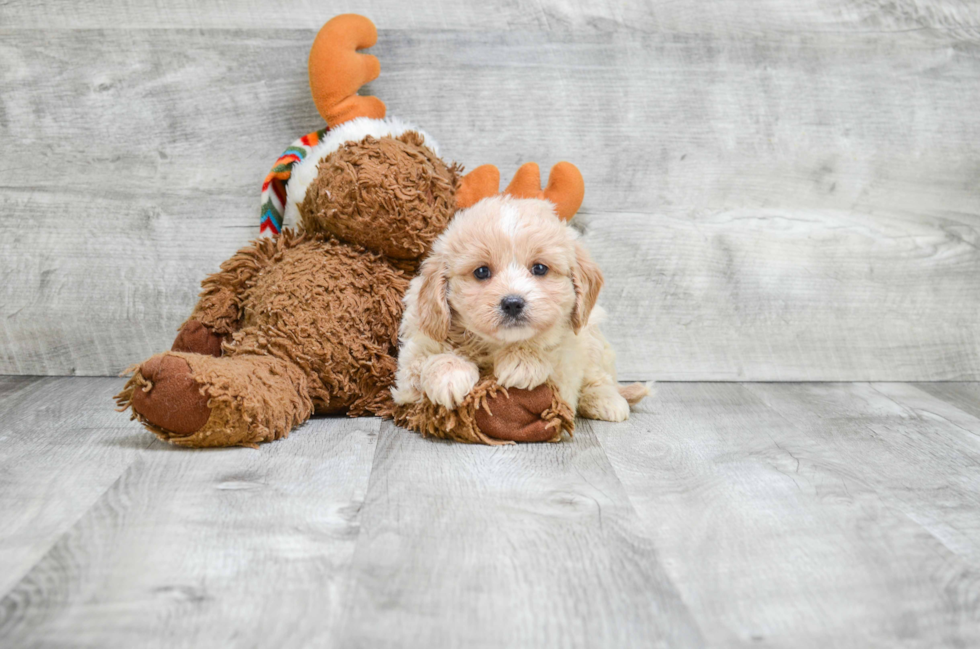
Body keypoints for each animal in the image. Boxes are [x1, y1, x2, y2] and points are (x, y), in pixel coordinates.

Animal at [390, 195, 652, 422]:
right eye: (481, 272)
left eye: (540, 268)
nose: (513, 303)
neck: (494, 345)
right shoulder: (411, 363)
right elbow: (426, 360)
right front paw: (449, 374)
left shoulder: (568, 366)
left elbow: (549, 355)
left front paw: (522, 362)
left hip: (594, 338)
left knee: (600, 377)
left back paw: (606, 400)